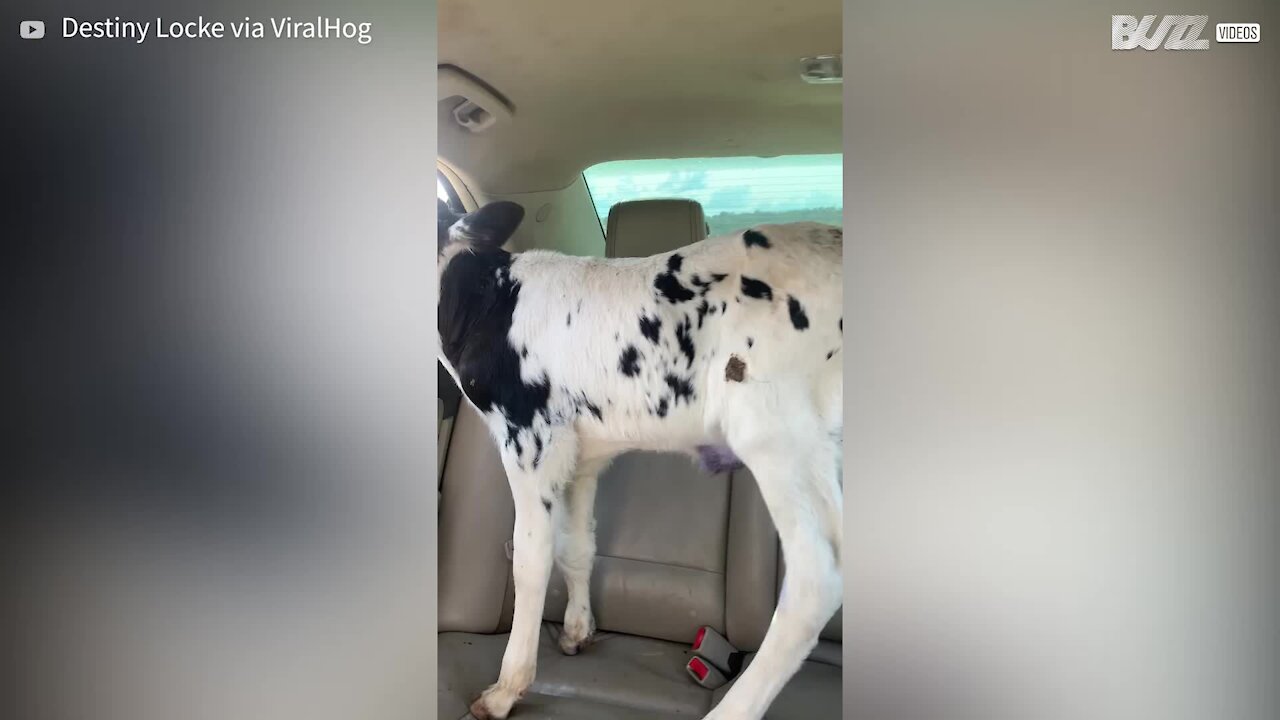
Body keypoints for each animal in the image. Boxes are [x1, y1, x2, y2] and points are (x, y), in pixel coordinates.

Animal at [435, 197, 844, 717]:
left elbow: (531, 559)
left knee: (816, 578)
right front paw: (577, 630)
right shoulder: (585, 453)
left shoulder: (530, 440)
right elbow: (577, 544)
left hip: (780, 434)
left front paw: (507, 688)